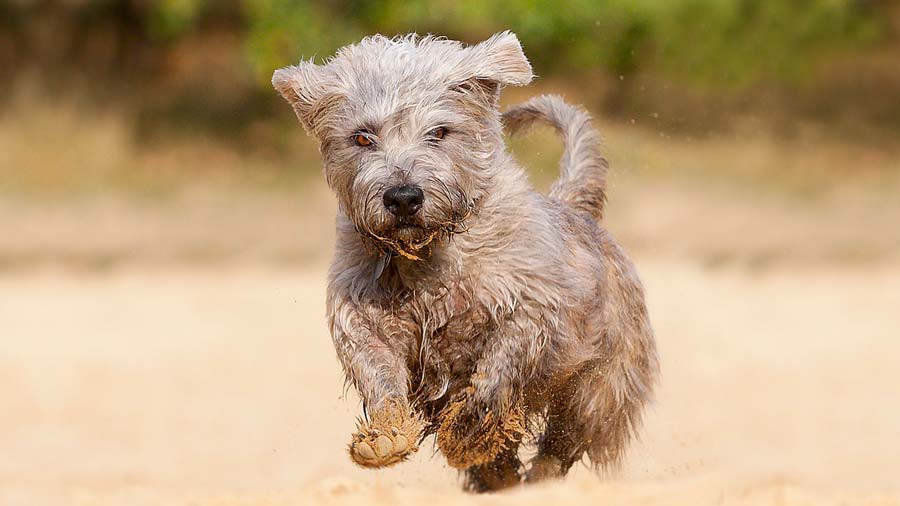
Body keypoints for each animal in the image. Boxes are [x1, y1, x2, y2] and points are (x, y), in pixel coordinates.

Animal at [270, 30, 656, 490]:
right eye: (363, 137)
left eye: (439, 132)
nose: (403, 197)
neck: (429, 257)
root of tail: (575, 207)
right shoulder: (360, 313)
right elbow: (377, 368)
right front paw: (387, 434)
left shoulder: (532, 309)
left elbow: (497, 371)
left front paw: (467, 434)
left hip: (599, 390)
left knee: (562, 443)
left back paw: (537, 479)